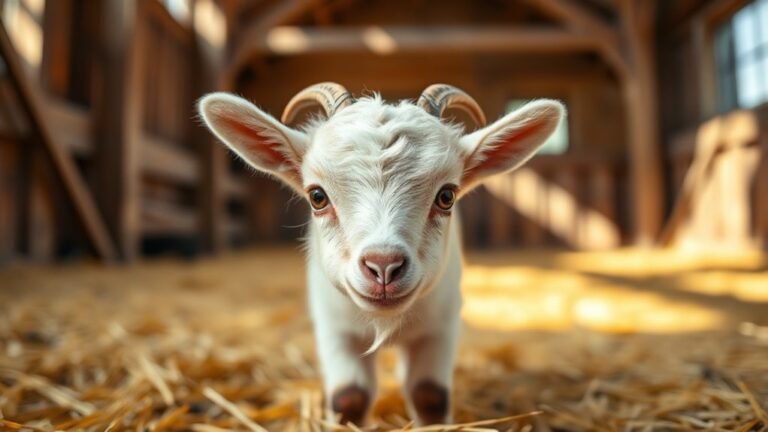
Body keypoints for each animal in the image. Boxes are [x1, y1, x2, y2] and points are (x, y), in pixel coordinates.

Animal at [198, 83, 564, 426]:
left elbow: (430, 394)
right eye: (317, 196)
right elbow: (349, 396)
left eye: (446, 196)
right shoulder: (334, 326)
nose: (384, 266)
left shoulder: (441, 324)